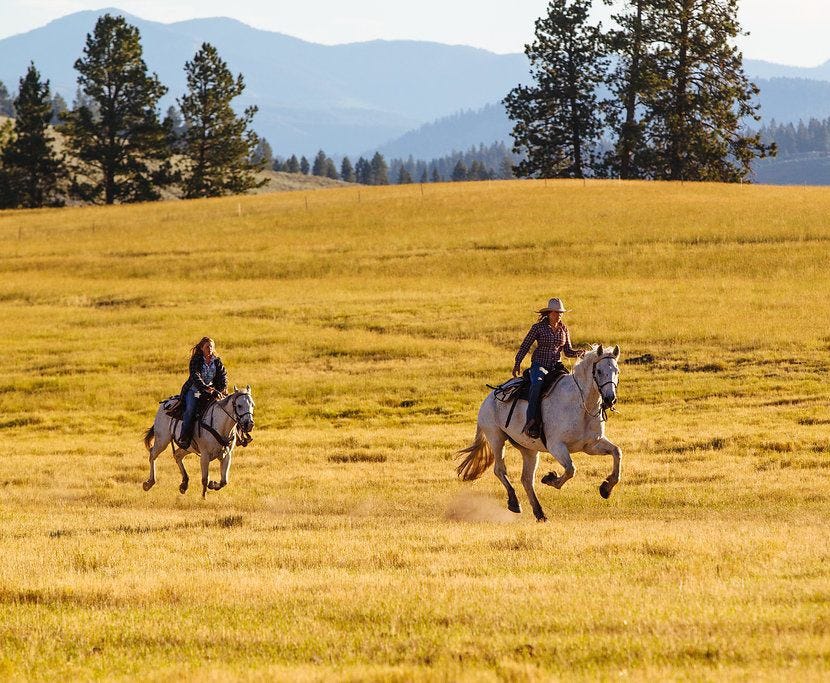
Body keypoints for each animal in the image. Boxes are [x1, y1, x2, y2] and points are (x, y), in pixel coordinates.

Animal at [456, 348, 624, 524]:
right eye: (599, 371)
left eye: (617, 371)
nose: (610, 399)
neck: (581, 405)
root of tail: (488, 399)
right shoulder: (556, 446)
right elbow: (571, 469)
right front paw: (550, 478)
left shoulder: (591, 445)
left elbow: (617, 452)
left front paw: (606, 488)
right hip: (496, 439)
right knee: (500, 470)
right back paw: (514, 503)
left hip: (529, 450)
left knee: (526, 479)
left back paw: (540, 513)